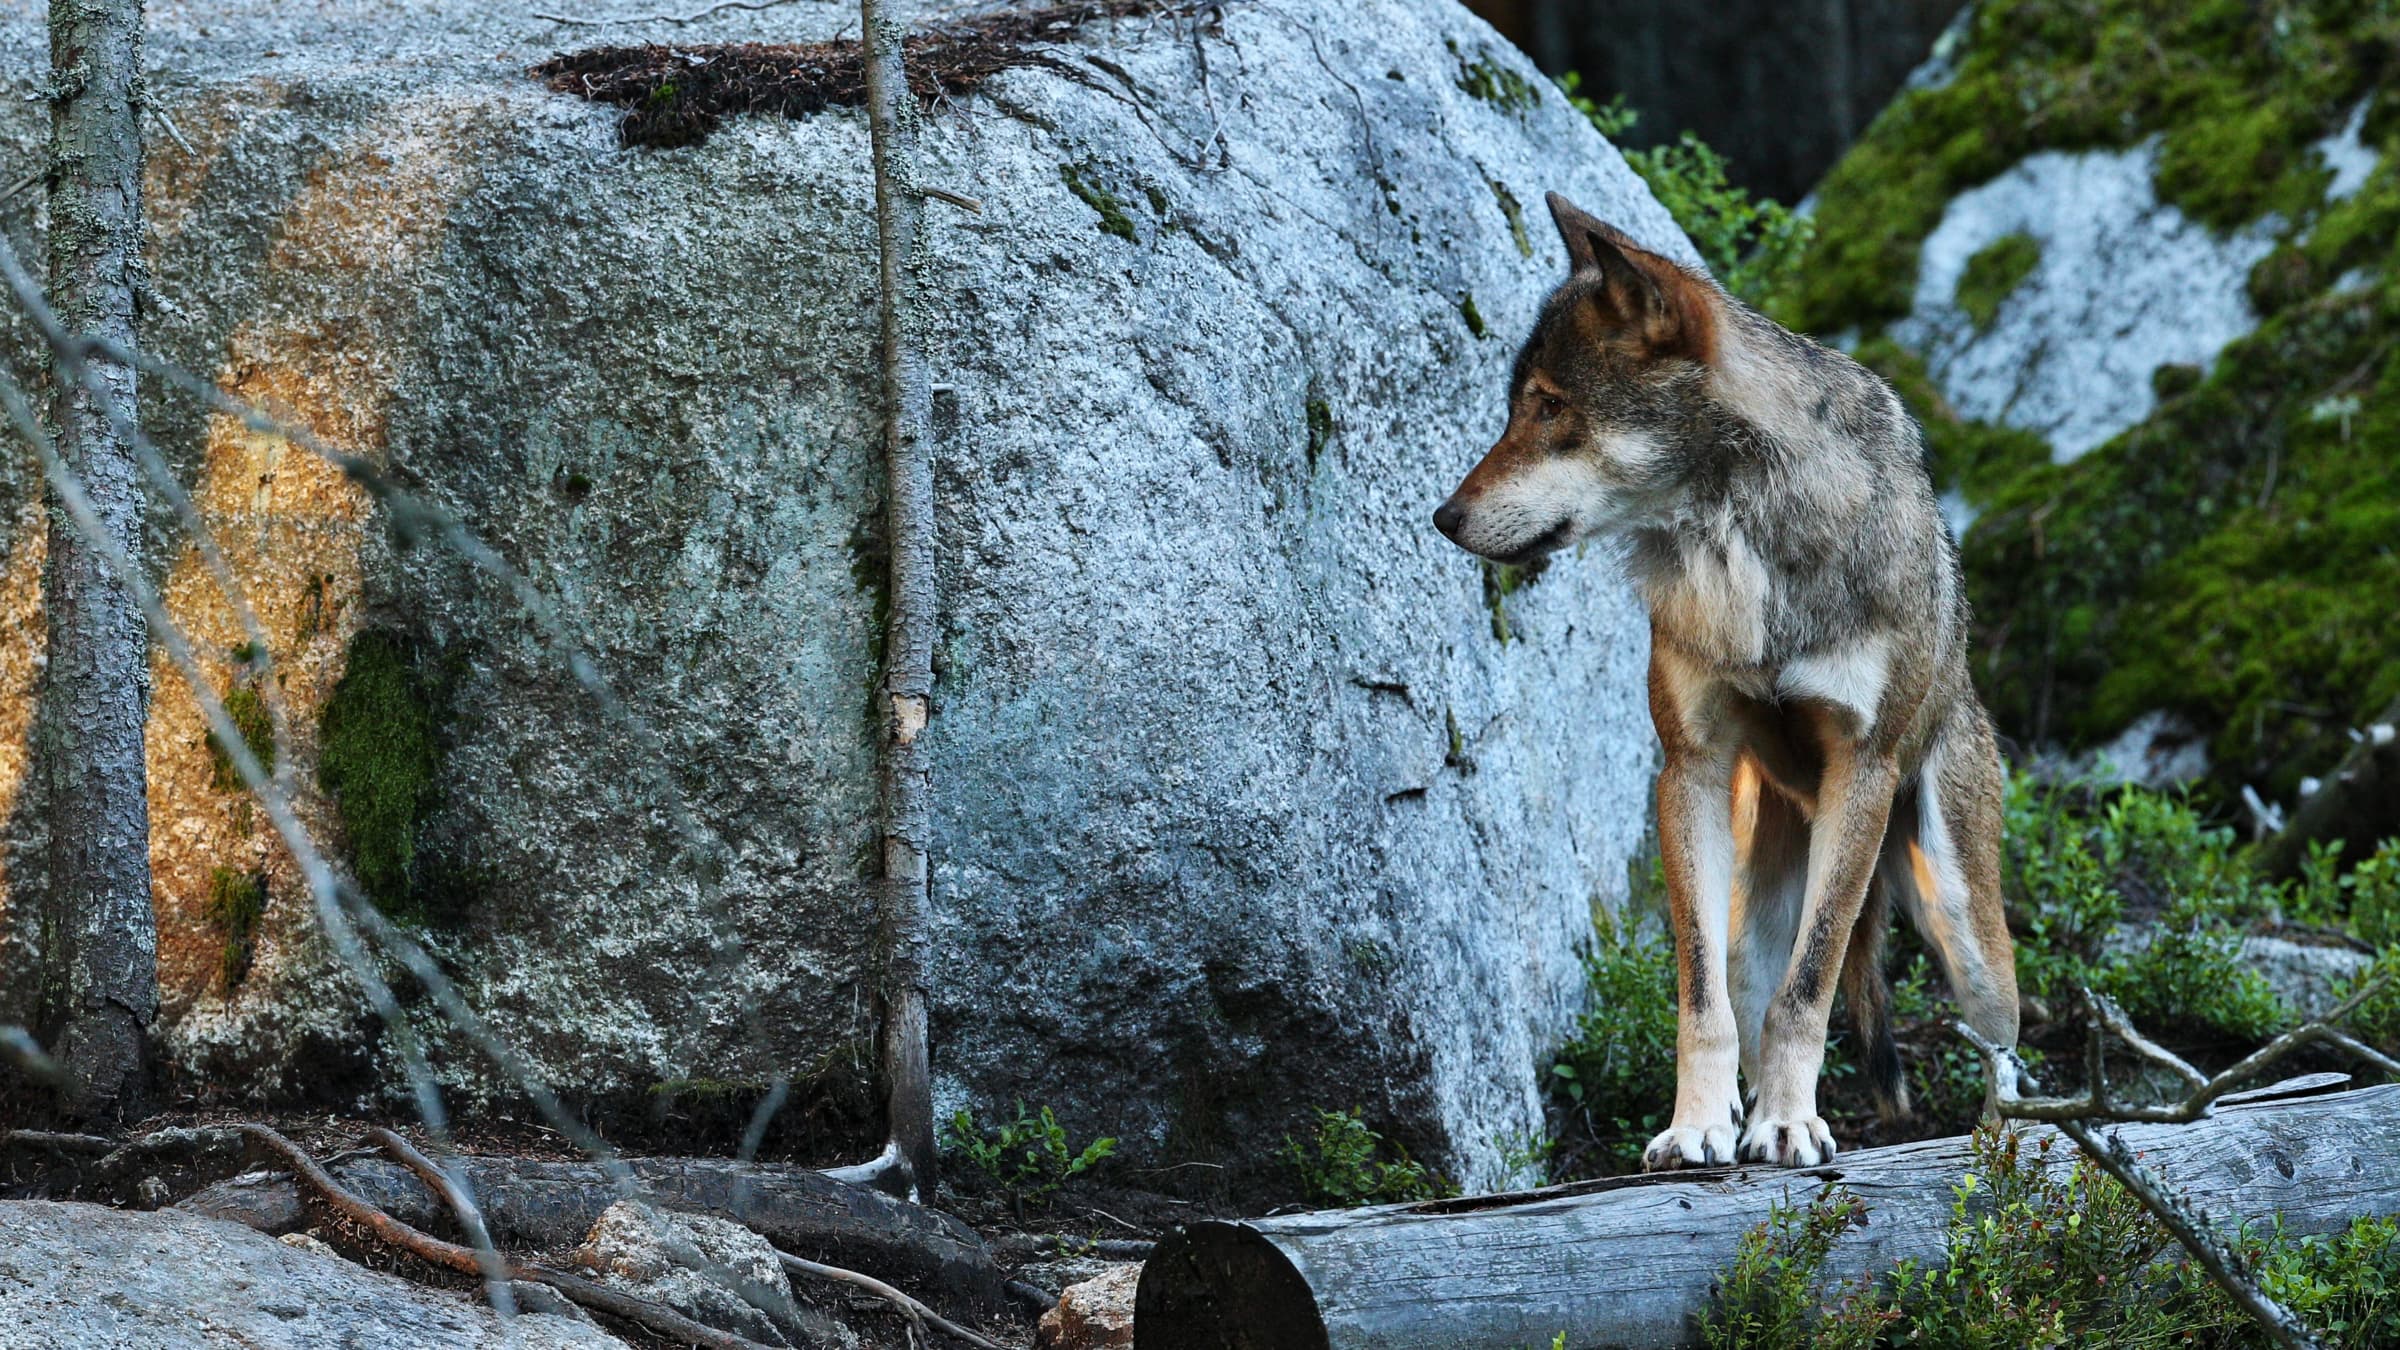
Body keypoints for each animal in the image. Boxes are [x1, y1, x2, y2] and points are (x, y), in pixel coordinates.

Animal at [1434, 194, 2019, 1169]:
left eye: (1550, 406)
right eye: (1517, 408)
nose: (1444, 517)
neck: (1741, 542)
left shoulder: (1862, 769)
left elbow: (1810, 987)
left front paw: (1788, 1127)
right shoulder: (1691, 771)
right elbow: (1700, 998)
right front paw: (1697, 1128)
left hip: (1960, 920)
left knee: (2002, 1046)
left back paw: (2011, 1149)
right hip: (1758, 884)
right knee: (1749, 988)